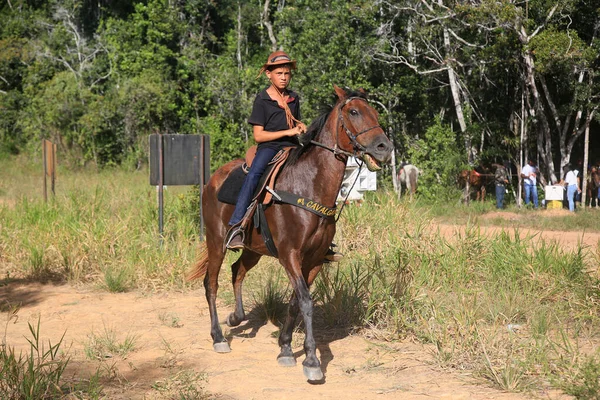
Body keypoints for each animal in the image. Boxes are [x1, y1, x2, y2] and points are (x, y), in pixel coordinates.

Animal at [188, 86, 394, 382]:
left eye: (375, 112)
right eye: (354, 111)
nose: (384, 148)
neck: (309, 186)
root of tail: (212, 180)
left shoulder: (315, 260)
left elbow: (297, 301)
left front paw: (285, 347)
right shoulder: (290, 255)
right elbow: (306, 302)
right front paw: (311, 361)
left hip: (253, 250)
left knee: (237, 271)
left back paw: (236, 318)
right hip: (216, 242)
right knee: (211, 283)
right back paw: (218, 337)